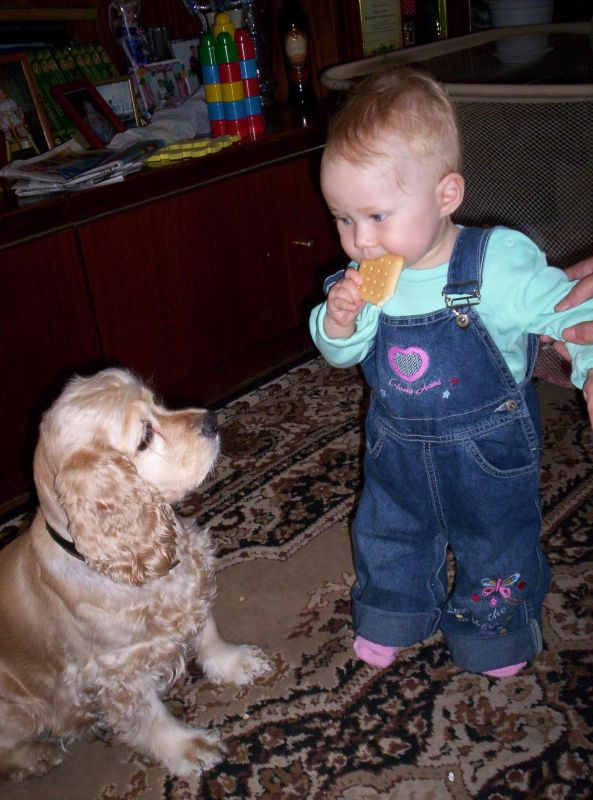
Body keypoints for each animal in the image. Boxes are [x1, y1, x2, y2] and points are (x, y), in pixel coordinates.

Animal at [0, 368, 270, 781]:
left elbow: (208, 634)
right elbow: (151, 718)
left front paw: (234, 663)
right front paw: (188, 748)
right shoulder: (117, 673)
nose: (211, 420)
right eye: (144, 437)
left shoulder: (193, 593)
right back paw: (37, 754)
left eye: (158, 404)